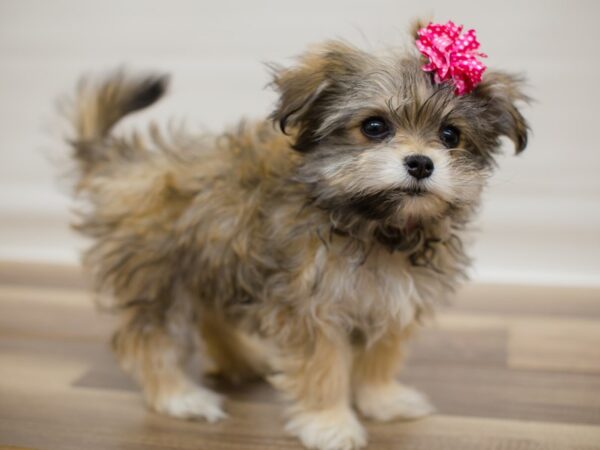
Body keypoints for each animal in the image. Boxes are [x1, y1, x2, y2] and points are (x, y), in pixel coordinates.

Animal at [63, 20, 528, 450]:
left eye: (450, 135)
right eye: (374, 126)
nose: (420, 163)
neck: (374, 223)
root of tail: (120, 163)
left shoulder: (391, 299)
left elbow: (380, 355)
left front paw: (382, 400)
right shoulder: (311, 307)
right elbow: (323, 368)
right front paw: (330, 423)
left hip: (213, 257)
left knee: (210, 314)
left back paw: (240, 359)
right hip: (158, 274)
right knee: (149, 339)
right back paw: (179, 396)